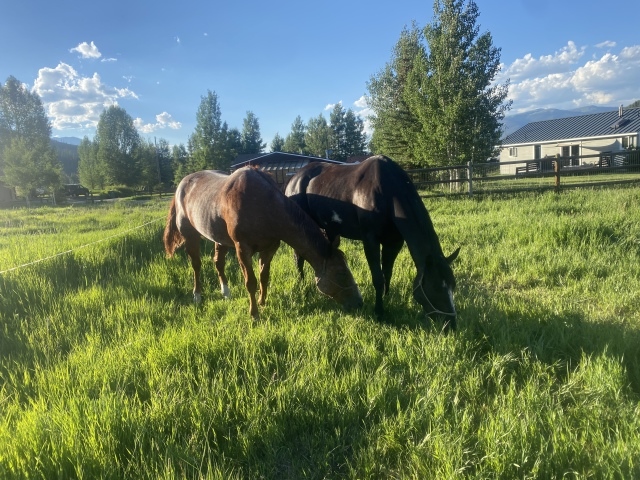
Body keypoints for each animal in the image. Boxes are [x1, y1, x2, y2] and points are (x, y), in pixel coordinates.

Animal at [164, 168, 363, 318]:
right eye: (341, 274)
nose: (359, 302)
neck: (263, 205)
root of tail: (182, 183)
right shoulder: (242, 249)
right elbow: (250, 282)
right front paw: (254, 314)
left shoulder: (269, 248)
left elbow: (264, 277)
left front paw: (262, 302)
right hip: (191, 235)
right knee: (196, 265)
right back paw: (197, 295)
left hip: (219, 239)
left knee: (218, 263)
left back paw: (226, 293)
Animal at [285, 155, 460, 330]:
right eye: (436, 288)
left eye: (453, 285)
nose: (451, 324)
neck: (387, 193)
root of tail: (294, 178)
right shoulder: (370, 240)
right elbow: (378, 278)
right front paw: (379, 312)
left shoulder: (394, 242)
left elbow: (387, 273)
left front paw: (387, 298)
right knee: (299, 257)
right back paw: (302, 284)